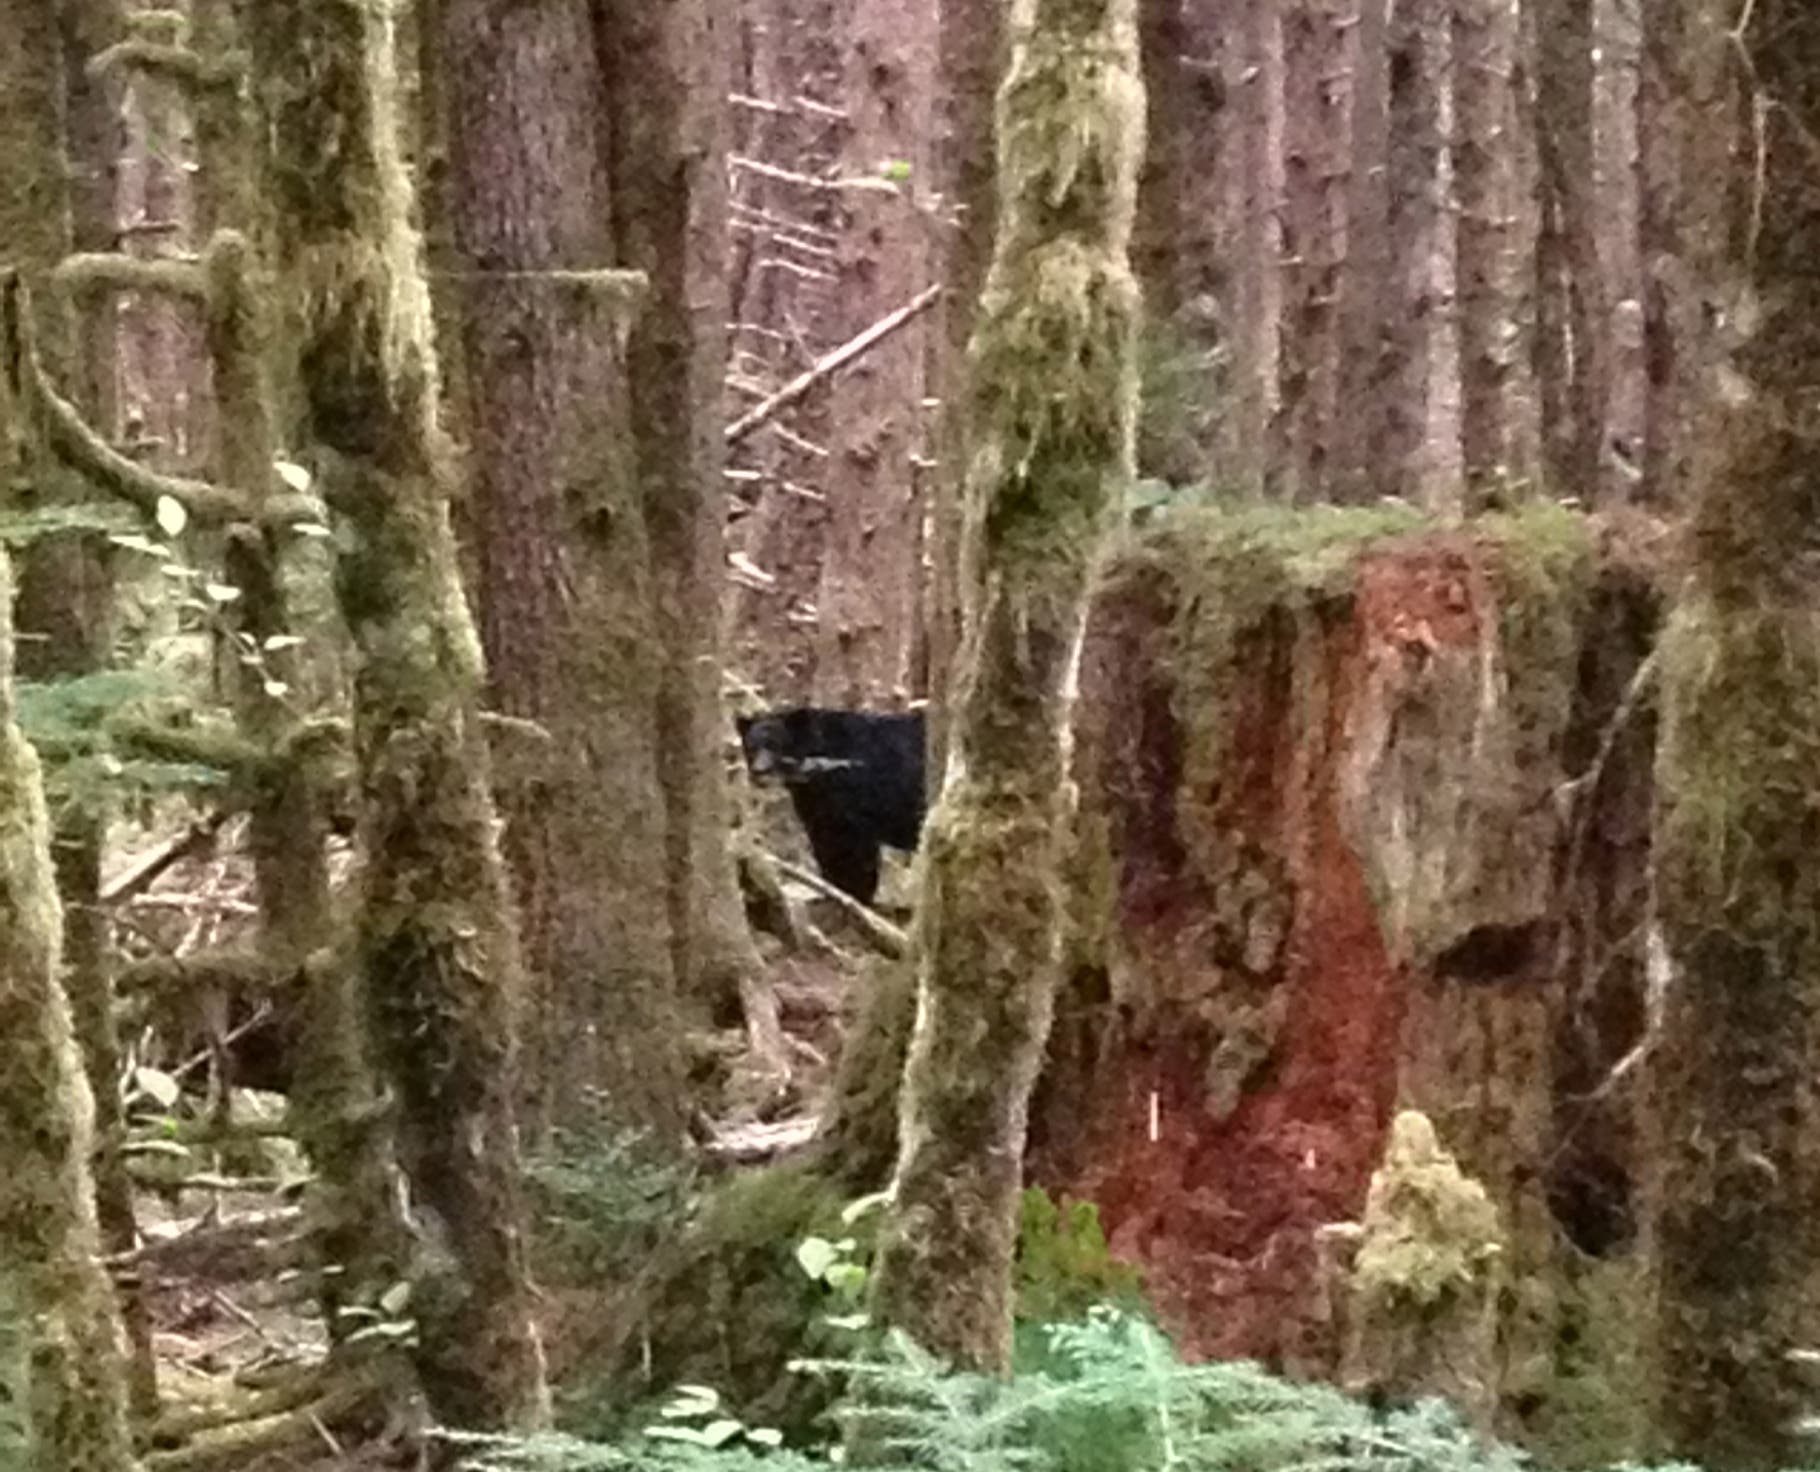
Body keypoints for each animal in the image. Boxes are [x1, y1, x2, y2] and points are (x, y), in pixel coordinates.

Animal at [736, 706, 927, 907]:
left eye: (776, 745)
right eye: (751, 747)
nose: (759, 771)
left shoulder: (851, 797)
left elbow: (850, 848)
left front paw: (854, 894)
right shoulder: (818, 807)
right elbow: (826, 844)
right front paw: (833, 891)